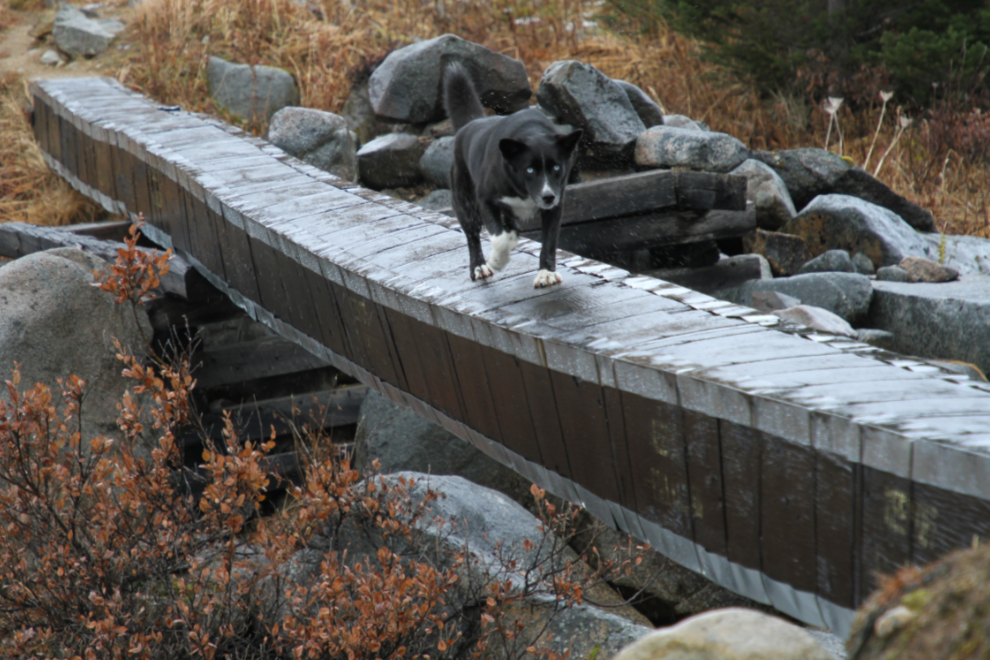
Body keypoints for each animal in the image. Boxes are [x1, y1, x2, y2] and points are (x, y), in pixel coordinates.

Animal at [442, 63, 580, 288]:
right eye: (529, 169)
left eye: (556, 167)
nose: (547, 197)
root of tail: (470, 125)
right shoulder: (485, 200)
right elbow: (498, 238)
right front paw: (498, 260)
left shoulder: (556, 205)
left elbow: (549, 241)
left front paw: (546, 273)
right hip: (465, 201)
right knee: (472, 234)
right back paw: (479, 267)